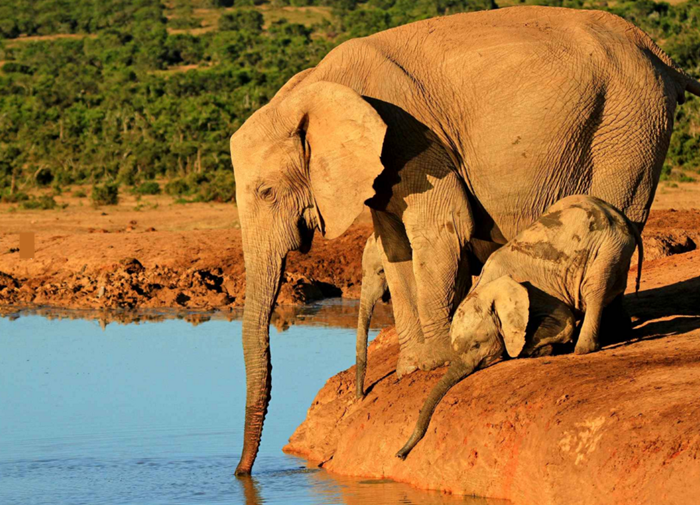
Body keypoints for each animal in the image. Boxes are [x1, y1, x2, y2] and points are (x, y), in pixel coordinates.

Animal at [396, 195, 644, 458]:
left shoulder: (538, 292)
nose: (400, 455)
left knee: (594, 288)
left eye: (476, 346)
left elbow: (563, 321)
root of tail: (620, 216)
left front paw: (537, 350)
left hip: (607, 248)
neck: (487, 288)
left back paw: (582, 348)